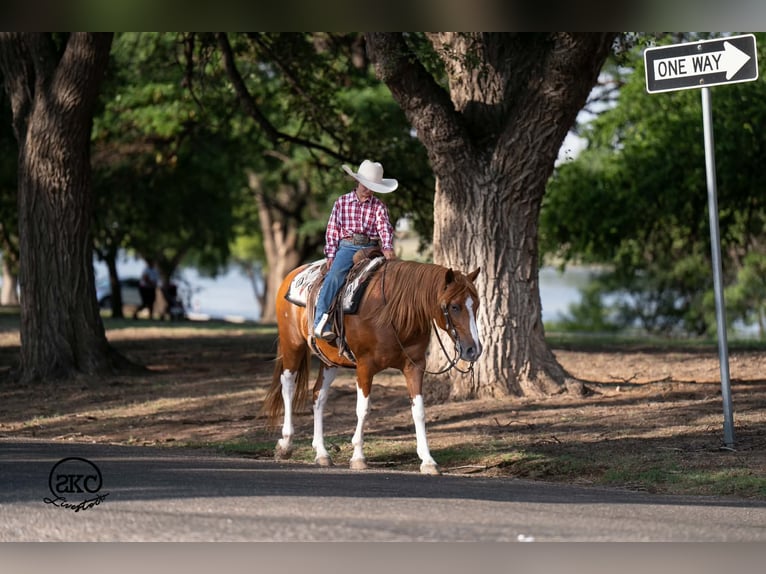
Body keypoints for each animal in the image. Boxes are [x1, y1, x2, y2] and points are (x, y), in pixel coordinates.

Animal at [261, 257, 482, 475]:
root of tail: (292, 274)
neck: (392, 313)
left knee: (318, 396)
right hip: (292, 344)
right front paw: (358, 457)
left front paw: (428, 460)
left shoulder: (415, 367)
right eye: (454, 306)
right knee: (288, 386)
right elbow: (363, 409)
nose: (474, 350)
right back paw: (285, 444)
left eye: (477, 305)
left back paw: (322, 453)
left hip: (329, 360)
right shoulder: (365, 366)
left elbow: (418, 411)